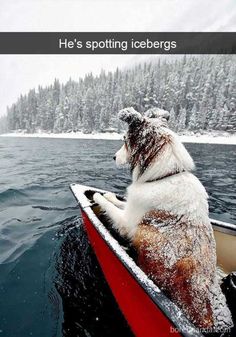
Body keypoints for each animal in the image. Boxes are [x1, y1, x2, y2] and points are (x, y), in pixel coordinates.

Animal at [92, 107, 232, 330]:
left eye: (124, 140)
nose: (113, 157)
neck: (165, 176)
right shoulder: (133, 208)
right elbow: (120, 202)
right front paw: (110, 195)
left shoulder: (128, 224)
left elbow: (111, 208)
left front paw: (98, 196)